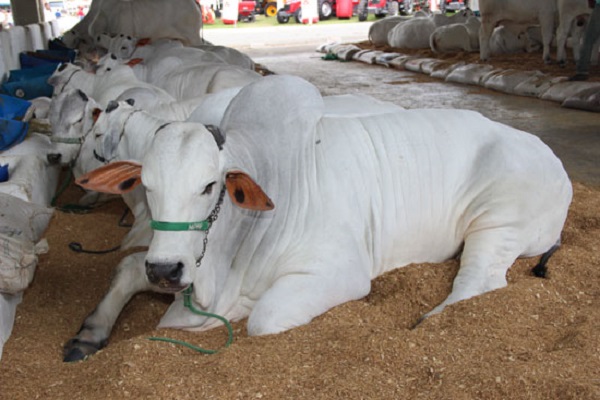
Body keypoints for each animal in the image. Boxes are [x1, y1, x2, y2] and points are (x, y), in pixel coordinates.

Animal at [65, 74, 572, 362]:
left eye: (209, 185)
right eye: (147, 185)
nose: (166, 269)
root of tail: (557, 164)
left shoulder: (338, 273)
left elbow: (262, 317)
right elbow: (127, 268)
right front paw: (90, 333)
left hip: (498, 220)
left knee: (480, 282)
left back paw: (432, 318)